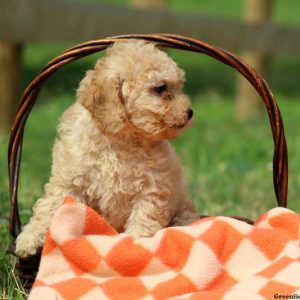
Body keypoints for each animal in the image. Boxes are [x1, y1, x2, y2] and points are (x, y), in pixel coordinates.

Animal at [16, 38, 199, 256]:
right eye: (160, 88)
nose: (189, 112)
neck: (119, 141)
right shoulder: (69, 181)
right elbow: (49, 207)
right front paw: (27, 240)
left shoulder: (152, 189)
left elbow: (143, 221)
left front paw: (134, 248)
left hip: (184, 207)